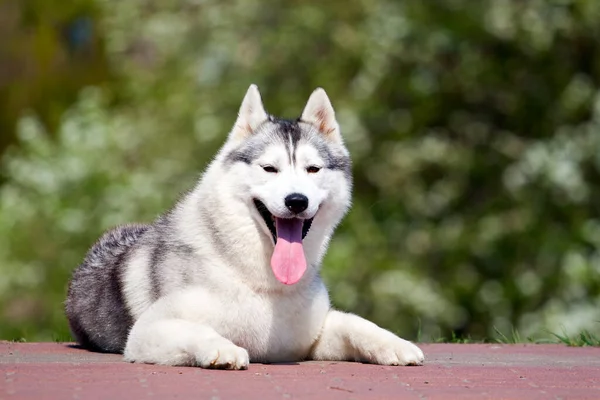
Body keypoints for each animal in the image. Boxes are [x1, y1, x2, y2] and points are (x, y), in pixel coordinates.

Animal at [64, 86, 422, 370]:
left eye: (313, 169)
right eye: (269, 168)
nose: (297, 201)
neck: (261, 282)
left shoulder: (312, 335)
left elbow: (355, 323)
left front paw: (395, 343)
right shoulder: (149, 330)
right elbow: (197, 330)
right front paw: (221, 348)